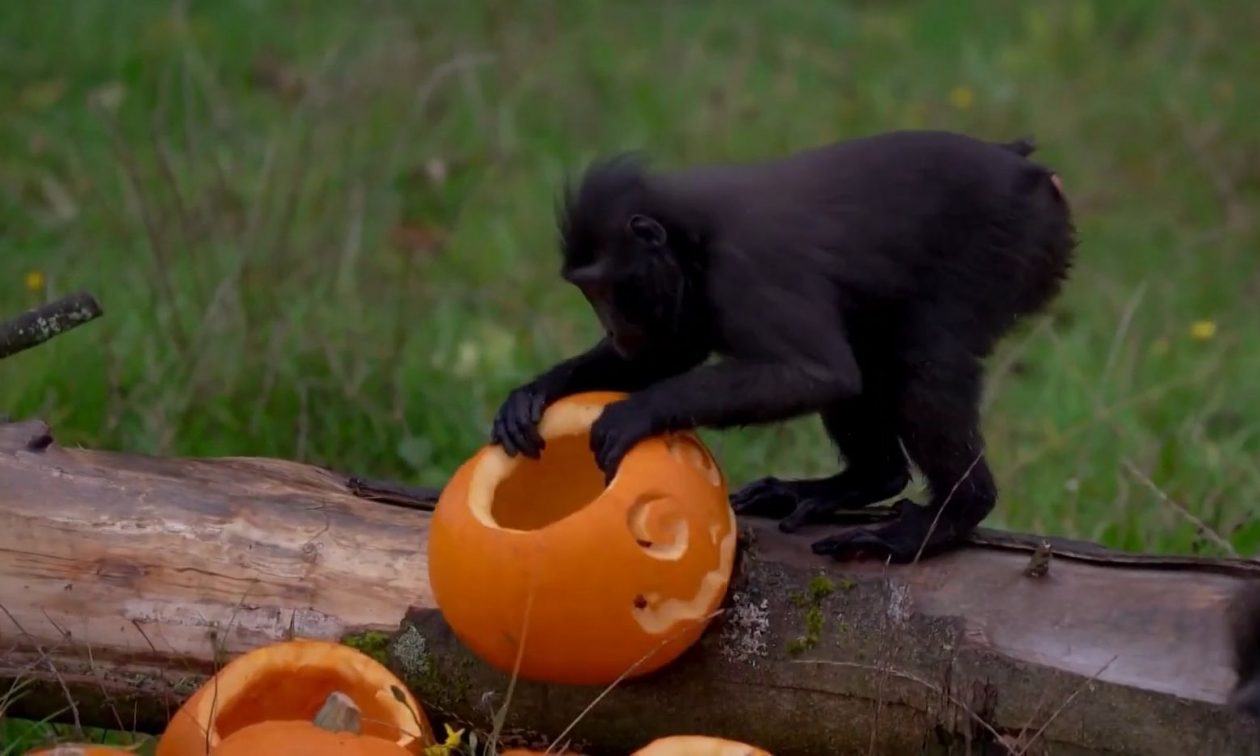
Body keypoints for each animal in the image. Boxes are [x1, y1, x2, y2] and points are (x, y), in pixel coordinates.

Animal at [486, 131, 1078, 561]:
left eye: (606, 291)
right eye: (588, 293)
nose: (610, 327)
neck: (693, 239)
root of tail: (1030, 171)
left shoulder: (748, 268)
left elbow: (817, 373)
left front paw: (637, 413)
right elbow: (668, 356)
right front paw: (534, 396)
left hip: (1004, 250)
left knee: (921, 364)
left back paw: (949, 515)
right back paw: (861, 480)